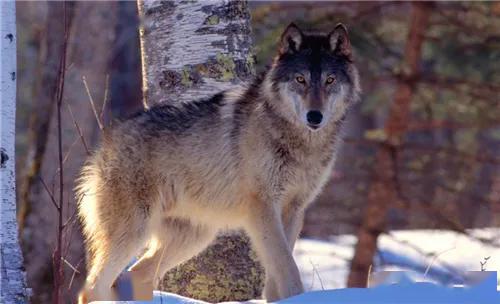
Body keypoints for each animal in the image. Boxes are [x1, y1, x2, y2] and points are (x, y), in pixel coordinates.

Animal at [77, 22, 360, 302]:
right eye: (300, 79)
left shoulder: (294, 210)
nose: (315, 116)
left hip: (194, 238)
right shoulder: (262, 208)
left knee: (135, 276)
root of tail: (106, 141)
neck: (301, 144)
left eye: (330, 80)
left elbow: (278, 271)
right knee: (92, 288)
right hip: (135, 233)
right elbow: (287, 267)